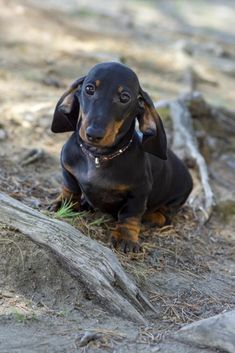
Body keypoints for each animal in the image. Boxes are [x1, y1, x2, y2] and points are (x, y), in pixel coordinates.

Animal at [50, 62, 192, 252]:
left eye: (125, 97)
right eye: (89, 89)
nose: (94, 134)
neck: (98, 156)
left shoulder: (139, 192)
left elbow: (130, 215)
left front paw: (126, 237)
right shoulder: (67, 169)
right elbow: (69, 189)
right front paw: (63, 204)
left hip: (176, 198)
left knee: (164, 215)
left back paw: (151, 218)